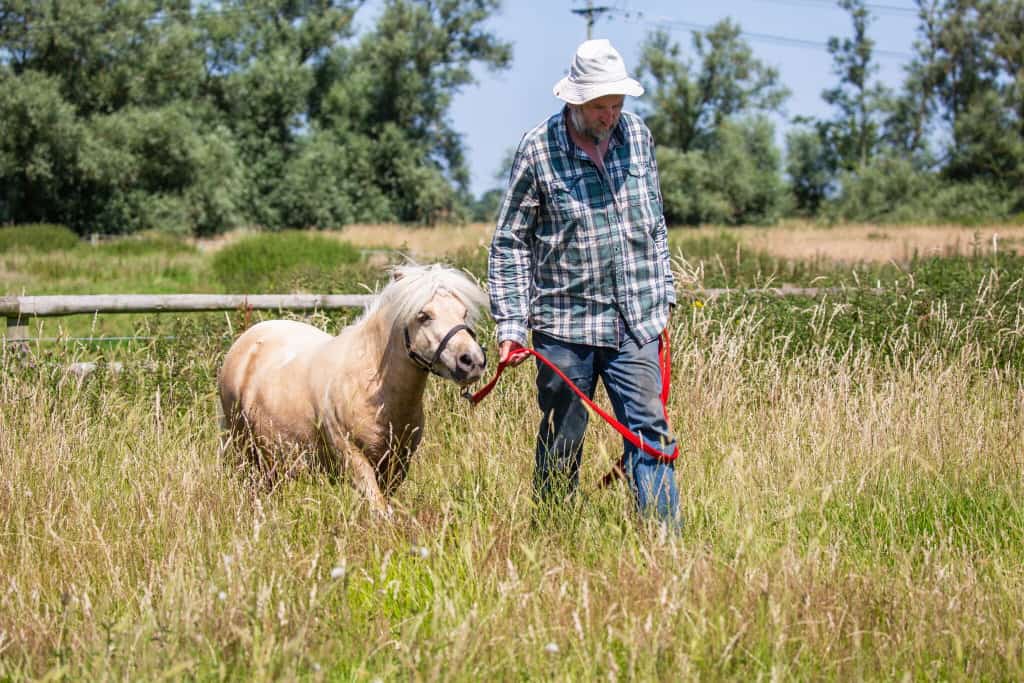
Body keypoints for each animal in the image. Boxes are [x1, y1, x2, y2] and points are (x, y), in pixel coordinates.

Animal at [217, 264, 488, 516]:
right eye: (424, 315)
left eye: (463, 313)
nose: (472, 361)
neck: (371, 389)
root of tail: (249, 340)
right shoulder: (352, 459)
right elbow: (380, 510)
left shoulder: (397, 464)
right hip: (246, 451)